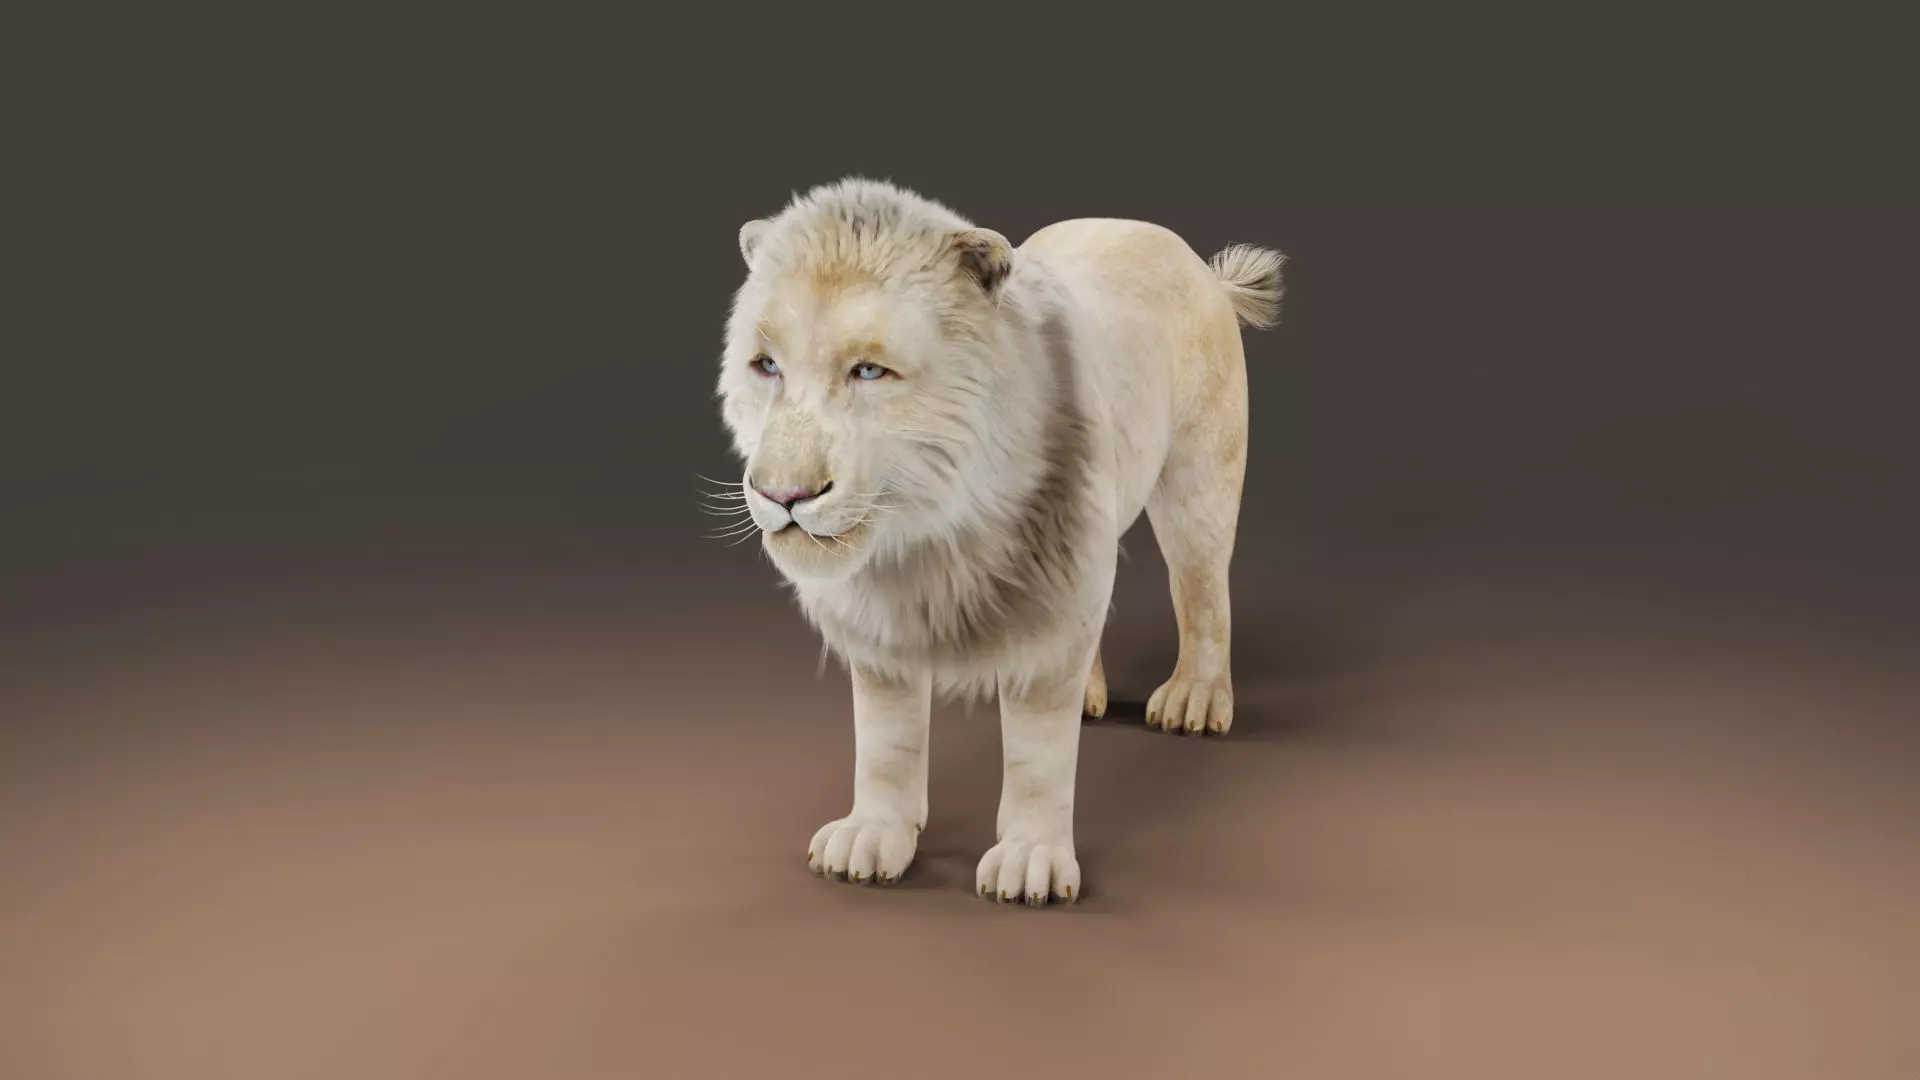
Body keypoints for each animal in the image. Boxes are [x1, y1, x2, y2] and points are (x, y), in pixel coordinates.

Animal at [712, 177, 1284, 906]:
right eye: (766, 366)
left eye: (869, 372)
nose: (782, 493)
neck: (926, 538)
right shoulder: (879, 630)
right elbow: (885, 739)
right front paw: (871, 837)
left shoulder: (1056, 590)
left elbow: (1038, 747)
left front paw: (1030, 861)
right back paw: (1092, 697)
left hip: (1198, 481)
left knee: (1203, 587)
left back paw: (1194, 700)